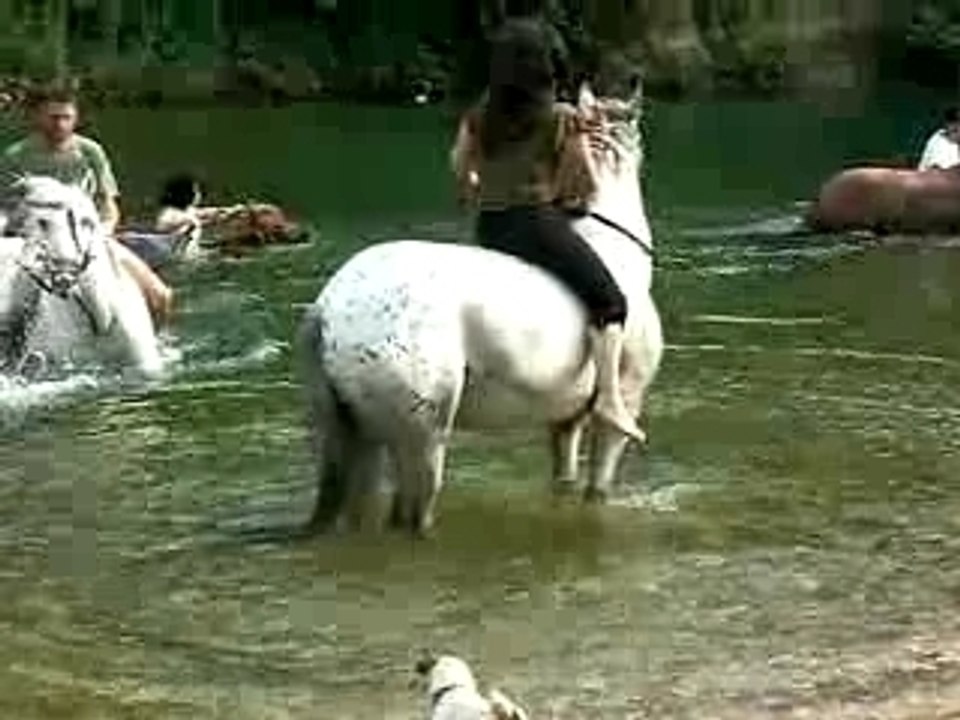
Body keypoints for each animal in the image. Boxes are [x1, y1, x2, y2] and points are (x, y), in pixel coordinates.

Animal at [298, 83, 663, 537]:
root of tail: (328, 309)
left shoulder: (565, 421)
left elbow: (563, 483)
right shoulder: (623, 403)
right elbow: (598, 489)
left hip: (358, 438)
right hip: (421, 438)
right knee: (413, 516)